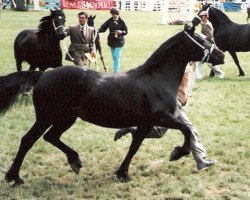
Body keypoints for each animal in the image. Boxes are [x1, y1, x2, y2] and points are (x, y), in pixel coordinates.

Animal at [0, 25, 224, 186]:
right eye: (202, 40)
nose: (221, 55)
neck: (156, 78)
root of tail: (42, 75)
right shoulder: (161, 117)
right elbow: (186, 130)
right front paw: (177, 153)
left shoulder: (146, 123)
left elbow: (135, 146)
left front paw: (122, 173)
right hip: (47, 117)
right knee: (28, 140)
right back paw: (15, 177)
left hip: (66, 118)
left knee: (50, 137)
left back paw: (74, 161)